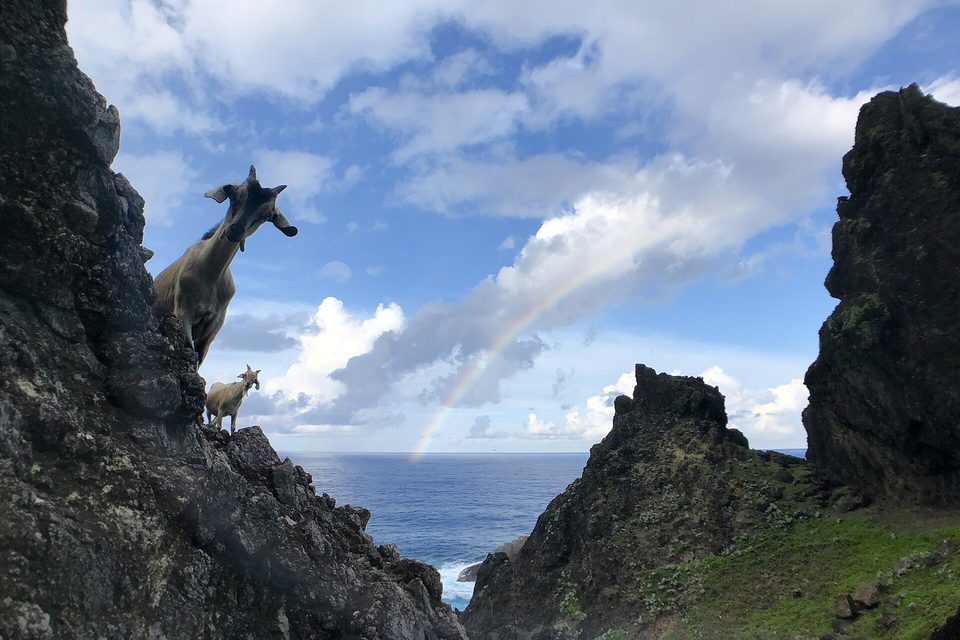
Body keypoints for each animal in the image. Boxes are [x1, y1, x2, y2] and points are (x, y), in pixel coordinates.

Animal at [152, 166, 297, 367]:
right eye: (233, 195)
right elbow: (190, 351)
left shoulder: (214, 325)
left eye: (267, 216)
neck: (211, 273)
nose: (236, 230)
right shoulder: (183, 312)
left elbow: (198, 358)